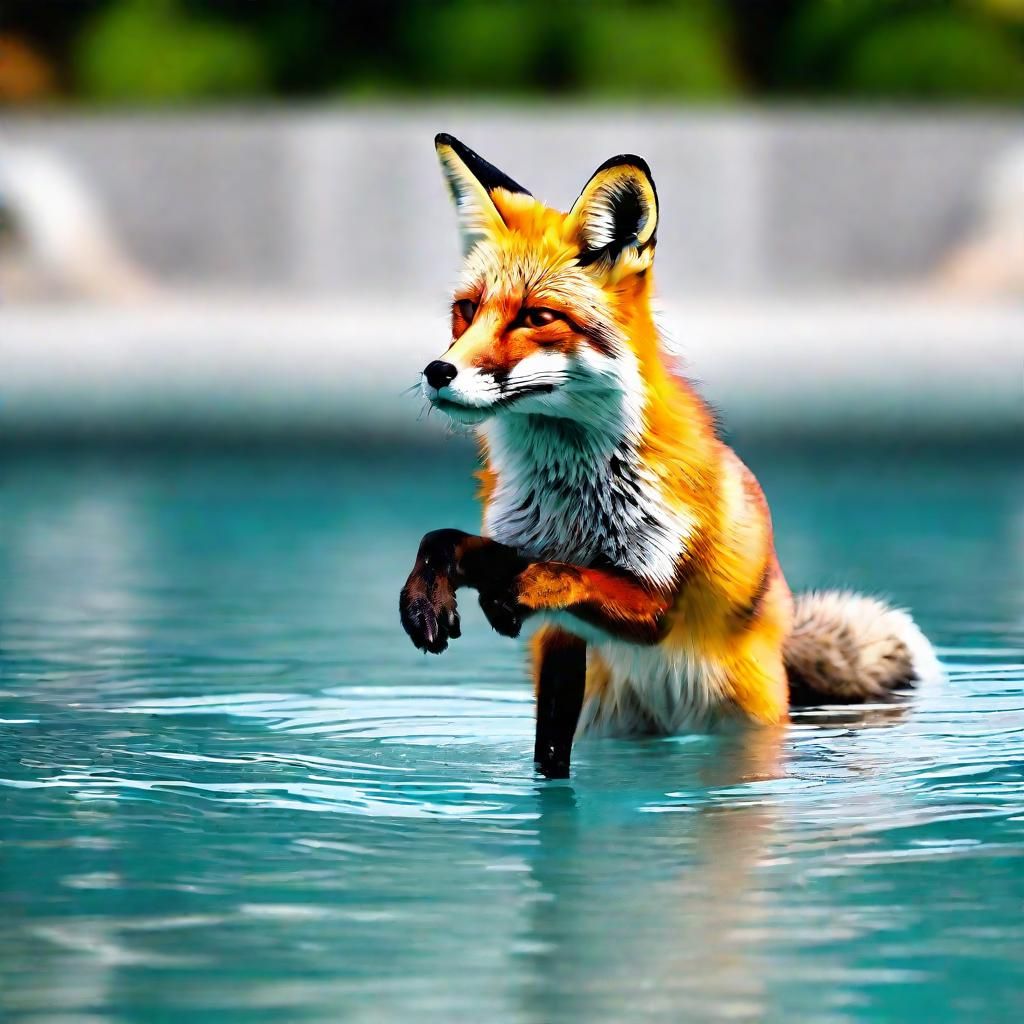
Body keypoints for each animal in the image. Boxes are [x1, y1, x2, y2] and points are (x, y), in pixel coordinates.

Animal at [400, 133, 940, 778]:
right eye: (468, 309)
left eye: (537, 317)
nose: (438, 372)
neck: (573, 498)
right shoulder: (557, 627)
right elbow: (447, 540)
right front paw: (427, 594)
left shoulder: (659, 606)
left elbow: (570, 576)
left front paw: (518, 593)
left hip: (743, 717)